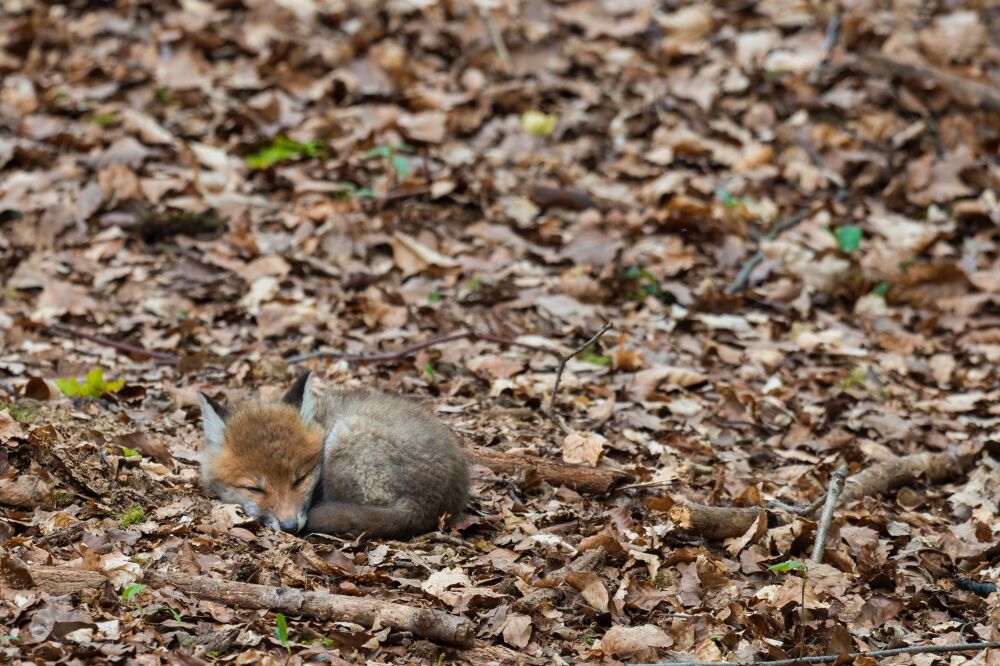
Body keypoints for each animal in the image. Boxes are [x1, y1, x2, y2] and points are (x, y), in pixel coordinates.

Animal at [199, 370, 472, 536]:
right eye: (255, 489)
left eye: (299, 480)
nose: (290, 527)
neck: (323, 420)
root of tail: (432, 506)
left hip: (346, 435)